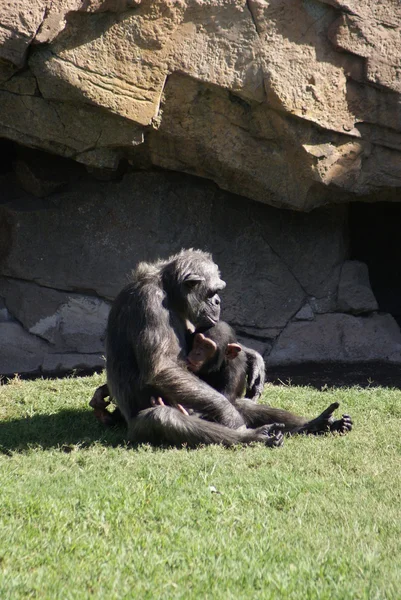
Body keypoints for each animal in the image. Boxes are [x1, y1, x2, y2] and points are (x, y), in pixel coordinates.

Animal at [92, 248, 352, 446]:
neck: (169, 292)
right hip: (140, 426)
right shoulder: (151, 304)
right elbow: (162, 369)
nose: (218, 301)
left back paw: (318, 423)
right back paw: (254, 436)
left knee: (240, 403)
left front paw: (253, 358)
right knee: (162, 418)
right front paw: (231, 418)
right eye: (212, 292)